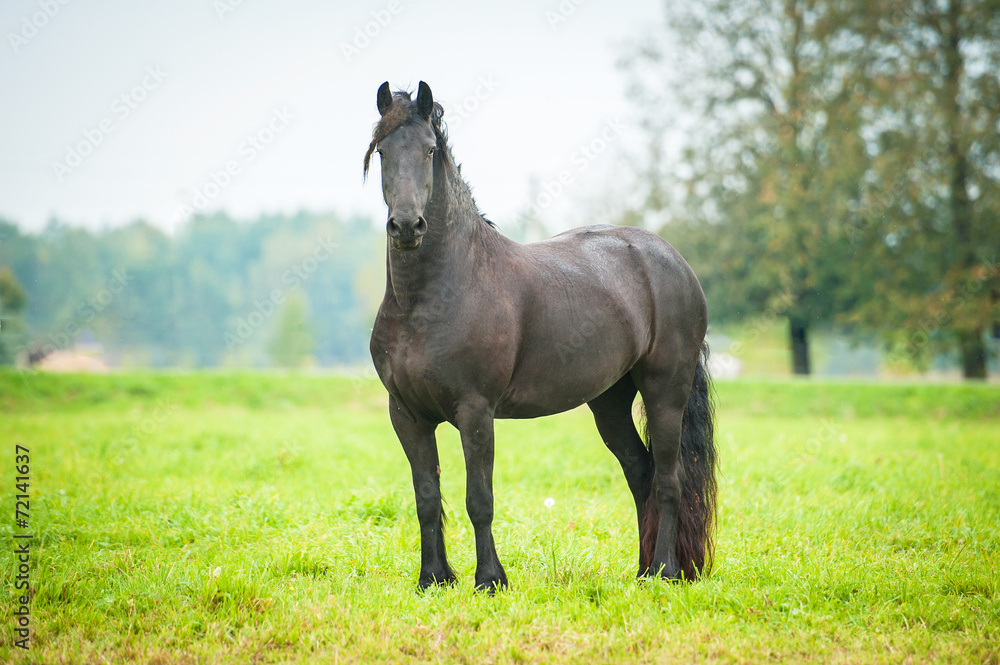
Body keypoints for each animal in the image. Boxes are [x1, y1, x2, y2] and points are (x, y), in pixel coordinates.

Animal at [368, 81, 720, 592]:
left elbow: (479, 498)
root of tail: (672, 260)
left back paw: (664, 571)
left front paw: (490, 580)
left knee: (669, 480)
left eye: (430, 150)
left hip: (665, 392)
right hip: (609, 401)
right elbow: (427, 497)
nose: (408, 225)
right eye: (382, 151)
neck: (429, 300)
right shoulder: (407, 415)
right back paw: (640, 570)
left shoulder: (475, 411)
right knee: (641, 474)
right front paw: (433, 578)